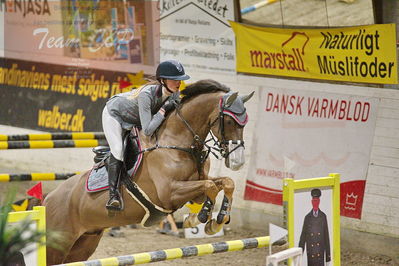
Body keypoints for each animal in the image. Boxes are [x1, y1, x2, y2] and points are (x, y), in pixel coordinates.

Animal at [43, 79, 253, 264]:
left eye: (245, 123)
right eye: (230, 121)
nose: (238, 161)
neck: (178, 141)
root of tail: (47, 200)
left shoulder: (197, 186)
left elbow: (224, 183)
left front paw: (217, 220)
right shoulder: (169, 193)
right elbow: (210, 186)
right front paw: (198, 219)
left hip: (85, 242)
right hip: (57, 246)